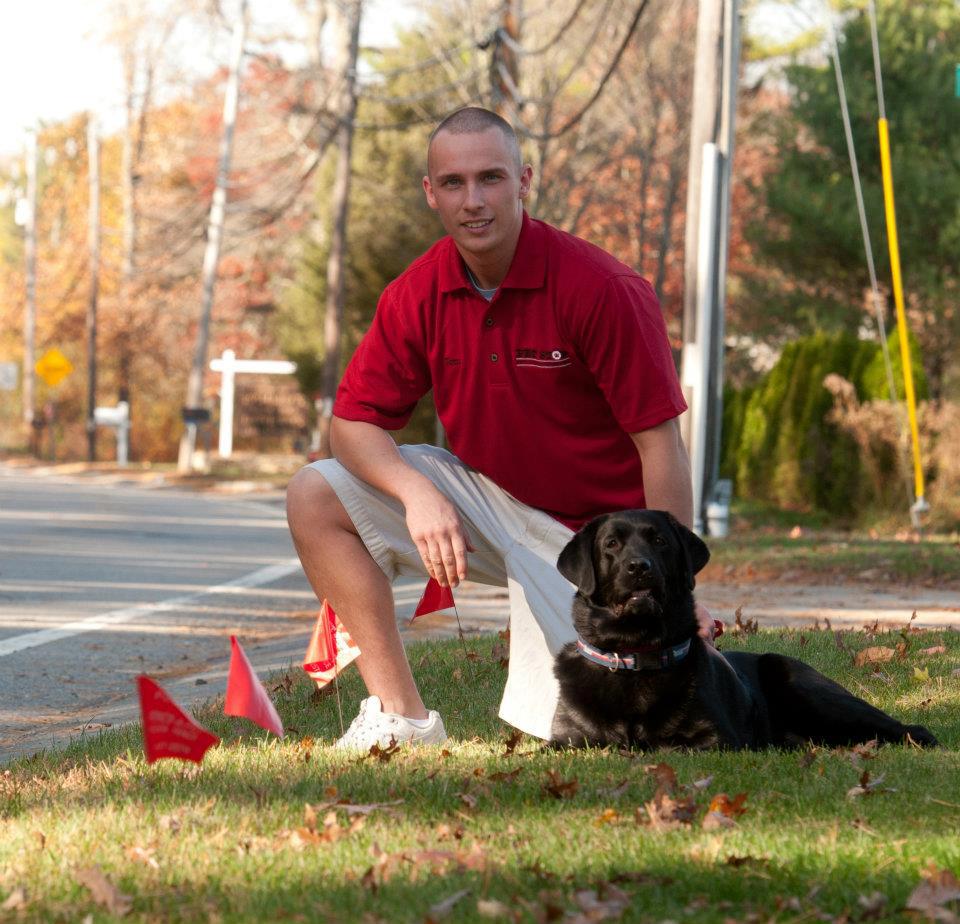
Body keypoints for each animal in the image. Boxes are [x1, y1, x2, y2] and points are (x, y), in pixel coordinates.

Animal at [552, 508, 932, 756]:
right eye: (611, 544)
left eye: (659, 540)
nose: (638, 567)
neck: (635, 654)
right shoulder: (566, 742)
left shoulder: (715, 740)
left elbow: (669, 747)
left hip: (802, 685)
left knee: (907, 729)